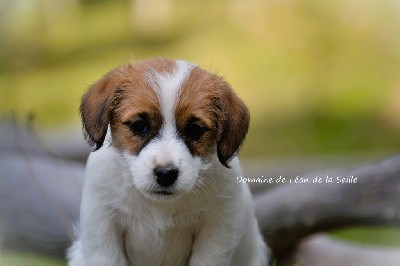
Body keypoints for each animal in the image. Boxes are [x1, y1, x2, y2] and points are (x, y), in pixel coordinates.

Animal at [68, 57, 268, 264]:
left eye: (195, 129)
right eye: (139, 125)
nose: (166, 174)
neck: (160, 206)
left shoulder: (218, 226)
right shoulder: (102, 222)